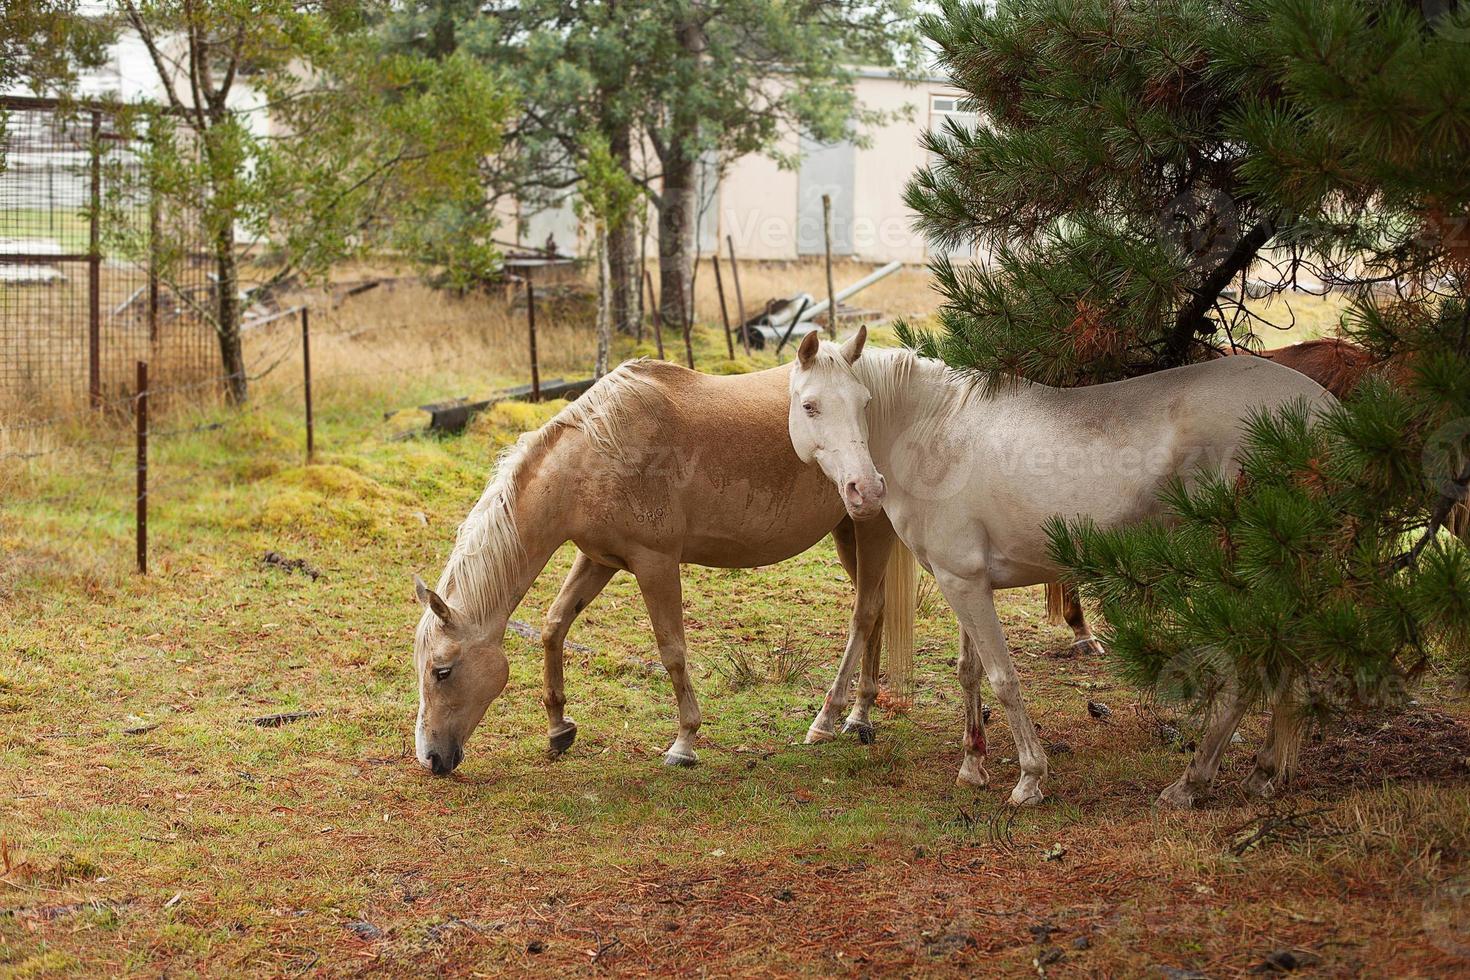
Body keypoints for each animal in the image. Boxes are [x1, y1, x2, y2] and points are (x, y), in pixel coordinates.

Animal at [410, 358, 914, 775]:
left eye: (442, 671)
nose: (431, 758)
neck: (594, 454)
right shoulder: (598, 559)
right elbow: (554, 626)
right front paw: (558, 730)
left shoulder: (655, 563)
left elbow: (672, 650)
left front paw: (684, 744)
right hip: (849, 533)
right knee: (876, 610)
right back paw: (860, 717)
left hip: (870, 529)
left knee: (864, 613)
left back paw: (831, 719)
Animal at [787, 326, 1334, 806]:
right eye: (810, 406)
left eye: (864, 404)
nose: (866, 490)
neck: (936, 431)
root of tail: (1320, 414)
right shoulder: (961, 580)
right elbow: (969, 672)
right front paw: (972, 766)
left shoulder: (964, 582)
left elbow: (1003, 679)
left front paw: (1029, 779)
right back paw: (1265, 773)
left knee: (1247, 671)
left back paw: (1190, 784)